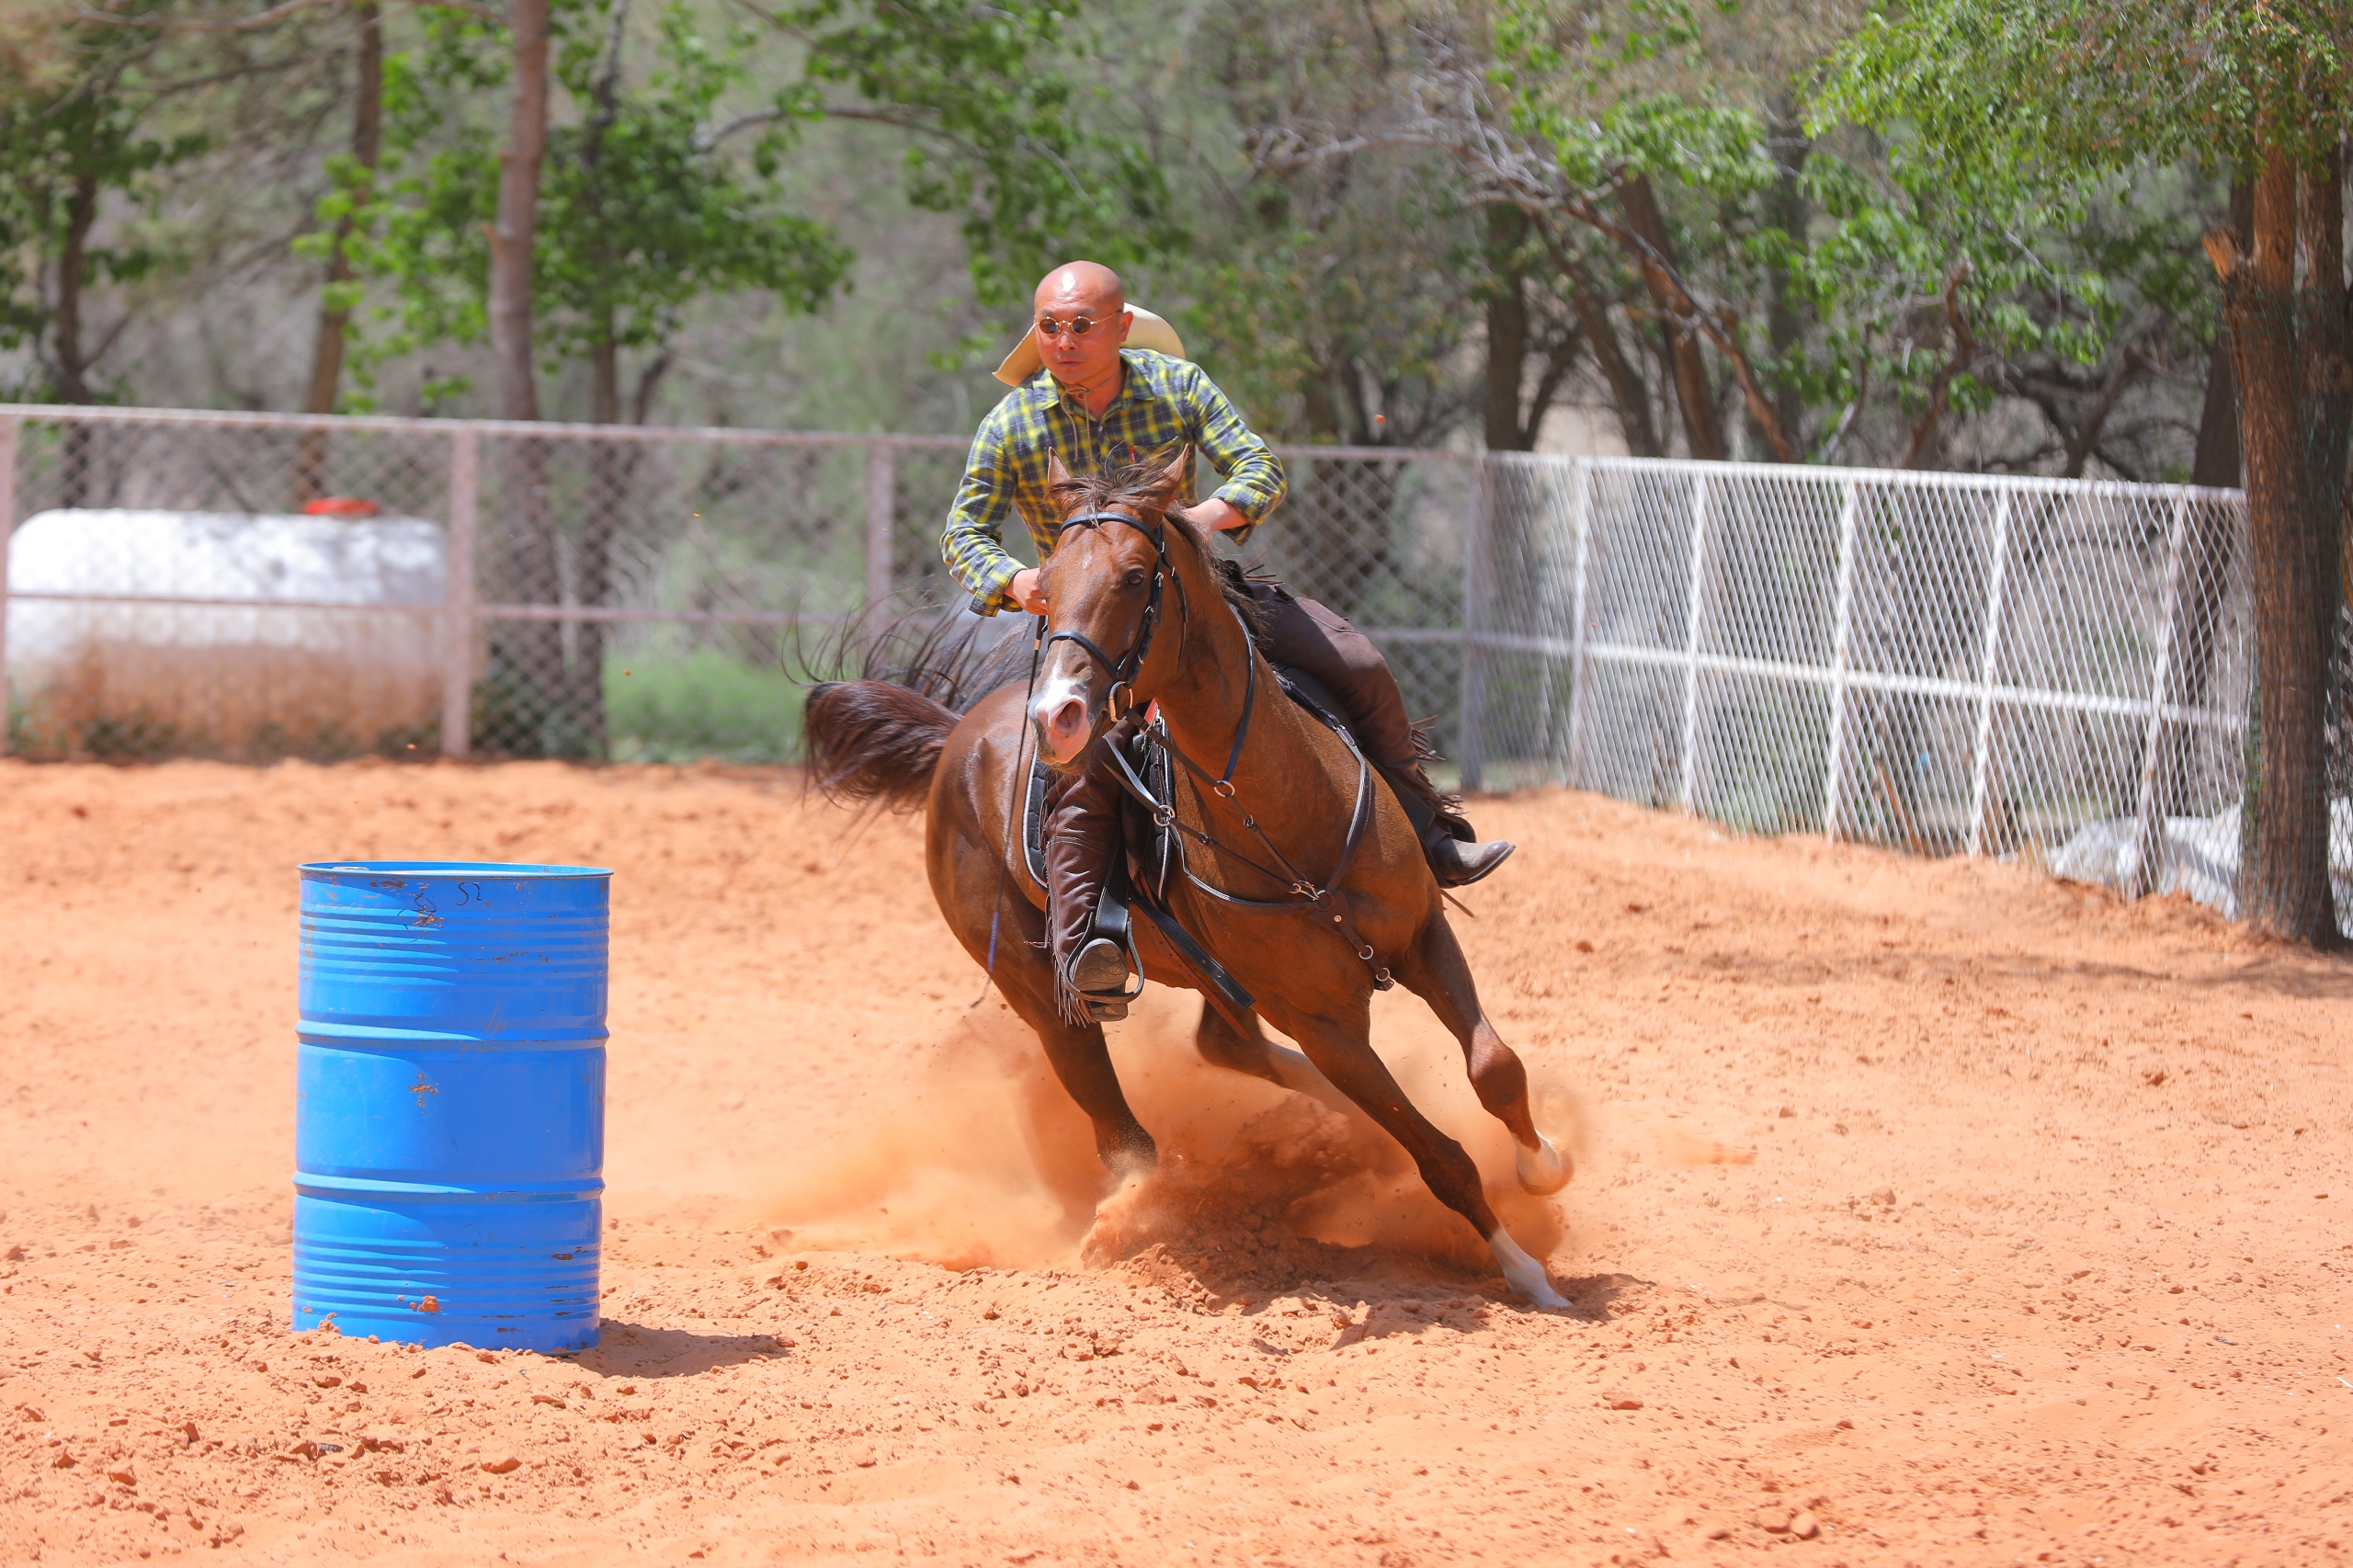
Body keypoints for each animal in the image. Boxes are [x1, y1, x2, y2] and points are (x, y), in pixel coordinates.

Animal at [801, 449, 1572, 1307]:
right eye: (1046, 581)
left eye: (1137, 577)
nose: (1058, 715)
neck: (1287, 821)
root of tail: (954, 739)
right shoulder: (1324, 1023)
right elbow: (1439, 1157)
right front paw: (1525, 1270)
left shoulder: (1423, 938)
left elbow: (1495, 1068)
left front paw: (1544, 1165)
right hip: (1042, 995)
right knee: (1122, 1126)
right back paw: (1147, 1210)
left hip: (1215, 977)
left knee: (1233, 1051)